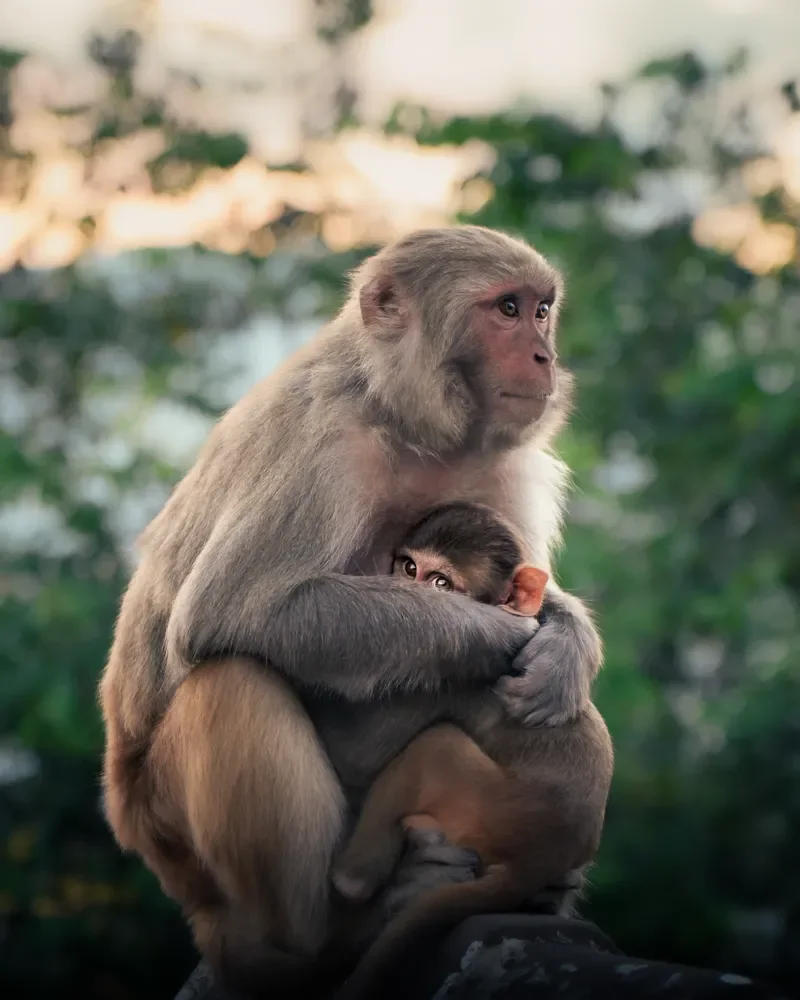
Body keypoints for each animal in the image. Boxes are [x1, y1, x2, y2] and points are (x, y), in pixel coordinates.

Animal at [326, 501, 613, 1000]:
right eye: (409, 568)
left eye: (441, 583)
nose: (408, 595)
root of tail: (538, 860)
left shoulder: (453, 674)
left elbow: (357, 755)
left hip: (484, 802)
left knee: (436, 743)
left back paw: (354, 880)